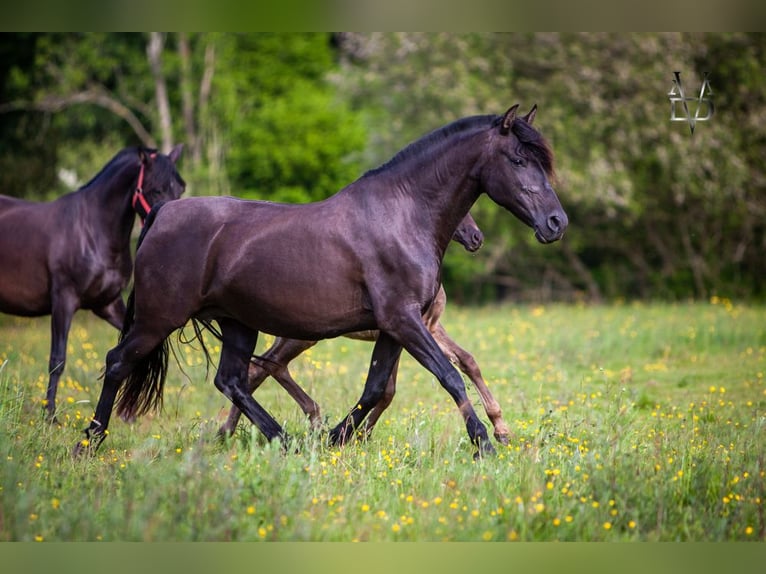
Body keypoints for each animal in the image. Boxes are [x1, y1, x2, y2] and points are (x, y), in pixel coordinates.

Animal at [0, 146, 185, 420]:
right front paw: (50, 415)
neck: (92, 231)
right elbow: (57, 360)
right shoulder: (64, 301)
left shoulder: (106, 304)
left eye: (180, 188)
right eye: (155, 189)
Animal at [79, 106, 568, 462]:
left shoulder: (395, 326)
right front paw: (484, 443)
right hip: (159, 319)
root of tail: (163, 215)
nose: (556, 223)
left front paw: (337, 439)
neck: (402, 215)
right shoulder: (405, 320)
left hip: (239, 324)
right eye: (518, 160)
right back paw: (90, 442)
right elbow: (449, 376)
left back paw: (288, 442)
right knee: (118, 362)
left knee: (233, 380)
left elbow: (376, 388)